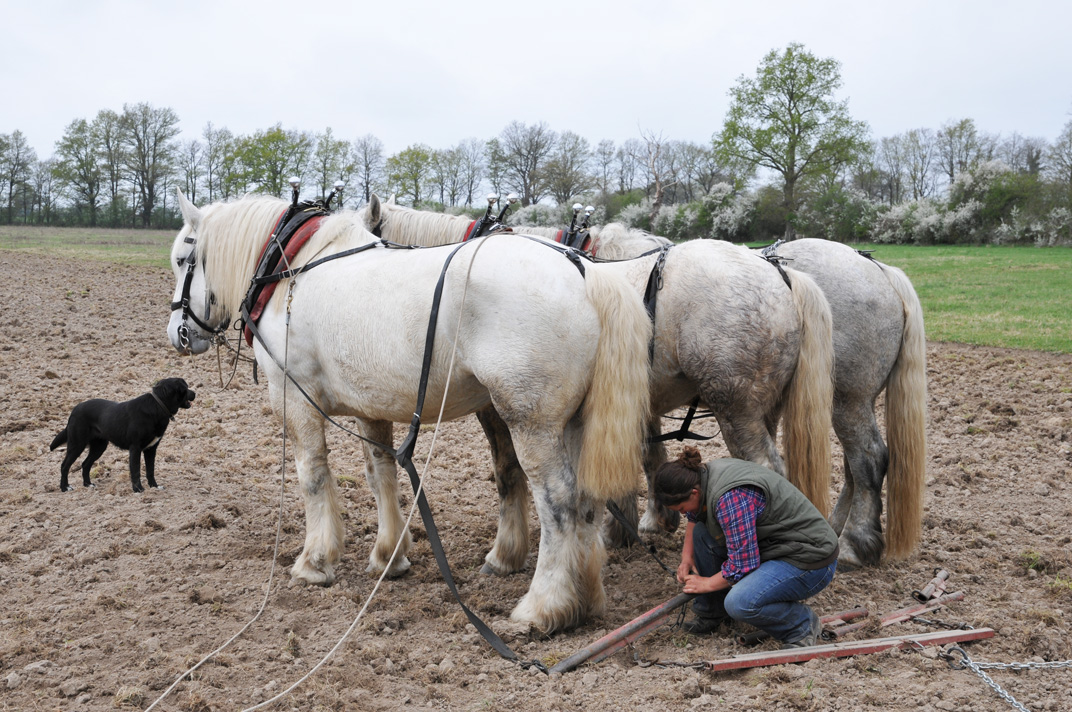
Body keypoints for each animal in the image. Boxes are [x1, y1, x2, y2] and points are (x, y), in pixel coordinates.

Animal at [49, 381, 196, 493]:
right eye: (185, 387)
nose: (195, 393)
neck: (157, 406)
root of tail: (74, 409)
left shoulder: (151, 449)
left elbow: (150, 470)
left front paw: (154, 487)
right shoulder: (135, 448)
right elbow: (136, 470)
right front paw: (138, 490)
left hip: (99, 447)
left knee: (85, 464)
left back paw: (88, 484)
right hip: (77, 444)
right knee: (64, 466)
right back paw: (65, 488)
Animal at [167, 191, 651, 630]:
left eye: (181, 259)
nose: (178, 332)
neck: (293, 273)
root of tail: (584, 271)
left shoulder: (293, 398)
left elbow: (313, 476)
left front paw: (315, 561)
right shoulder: (370, 405)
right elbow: (380, 474)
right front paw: (389, 555)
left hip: (531, 423)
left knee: (560, 502)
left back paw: (544, 606)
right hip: (574, 423)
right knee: (586, 502)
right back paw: (583, 598)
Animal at [360, 195, 836, 561]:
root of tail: (778, 273)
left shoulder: (497, 407)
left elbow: (508, 469)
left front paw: (508, 552)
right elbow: (644, 457)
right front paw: (633, 527)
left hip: (736, 407)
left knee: (763, 469)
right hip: (764, 407)